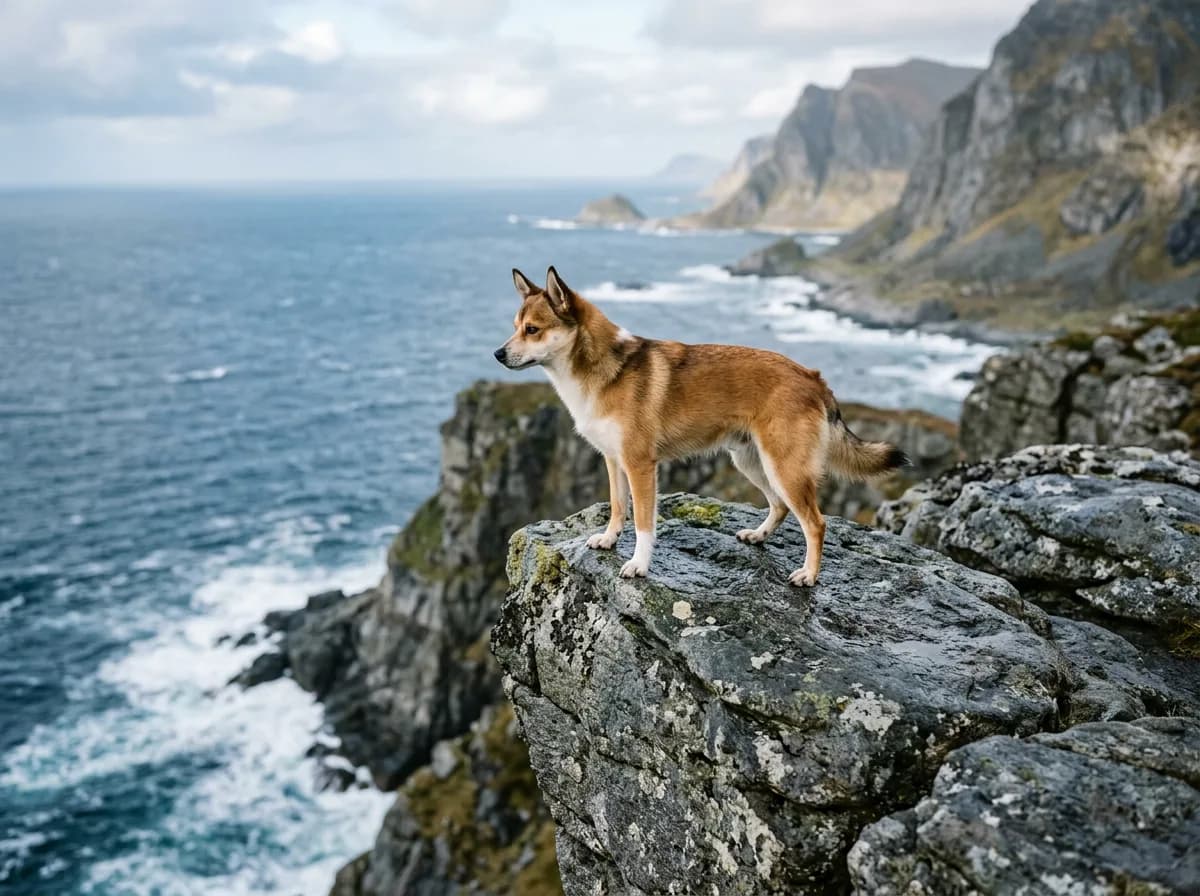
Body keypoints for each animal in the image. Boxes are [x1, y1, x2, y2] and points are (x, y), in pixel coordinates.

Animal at [493, 266, 909, 586]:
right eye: (515, 326)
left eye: (532, 329)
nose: (497, 354)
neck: (604, 370)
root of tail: (813, 378)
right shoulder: (614, 461)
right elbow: (617, 507)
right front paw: (609, 540)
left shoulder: (641, 466)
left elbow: (643, 521)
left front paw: (639, 564)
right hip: (752, 462)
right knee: (779, 506)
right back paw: (758, 536)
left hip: (784, 467)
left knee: (816, 523)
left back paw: (808, 574)